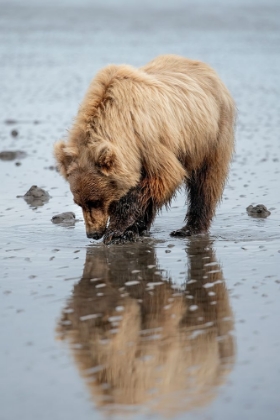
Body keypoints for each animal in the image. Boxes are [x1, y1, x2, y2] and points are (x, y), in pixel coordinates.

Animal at [53, 54, 235, 244]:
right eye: (78, 202)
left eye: (95, 201)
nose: (93, 234)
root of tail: (206, 67)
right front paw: (130, 229)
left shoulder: (147, 139)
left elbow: (163, 176)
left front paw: (116, 230)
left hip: (211, 134)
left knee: (206, 183)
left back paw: (189, 229)